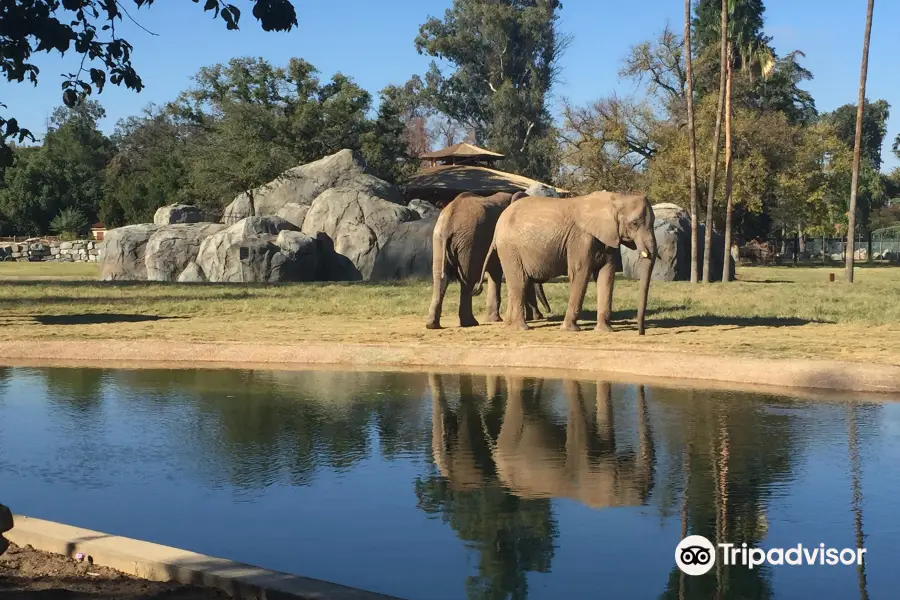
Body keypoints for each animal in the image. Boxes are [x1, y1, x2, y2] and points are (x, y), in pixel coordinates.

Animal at [426, 191, 552, 328]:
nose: (548, 312)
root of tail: (449, 221)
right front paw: (534, 317)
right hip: (469, 242)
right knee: (468, 279)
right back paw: (470, 323)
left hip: (439, 239)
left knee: (440, 278)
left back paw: (432, 325)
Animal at [474, 191, 656, 332]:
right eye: (634, 223)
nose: (641, 332)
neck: (616, 198)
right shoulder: (581, 240)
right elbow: (580, 274)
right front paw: (570, 329)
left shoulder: (608, 238)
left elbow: (606, 276)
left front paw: (605, 330)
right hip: (509, 248)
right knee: (519, 282)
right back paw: (521, 328)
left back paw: (509, 325)